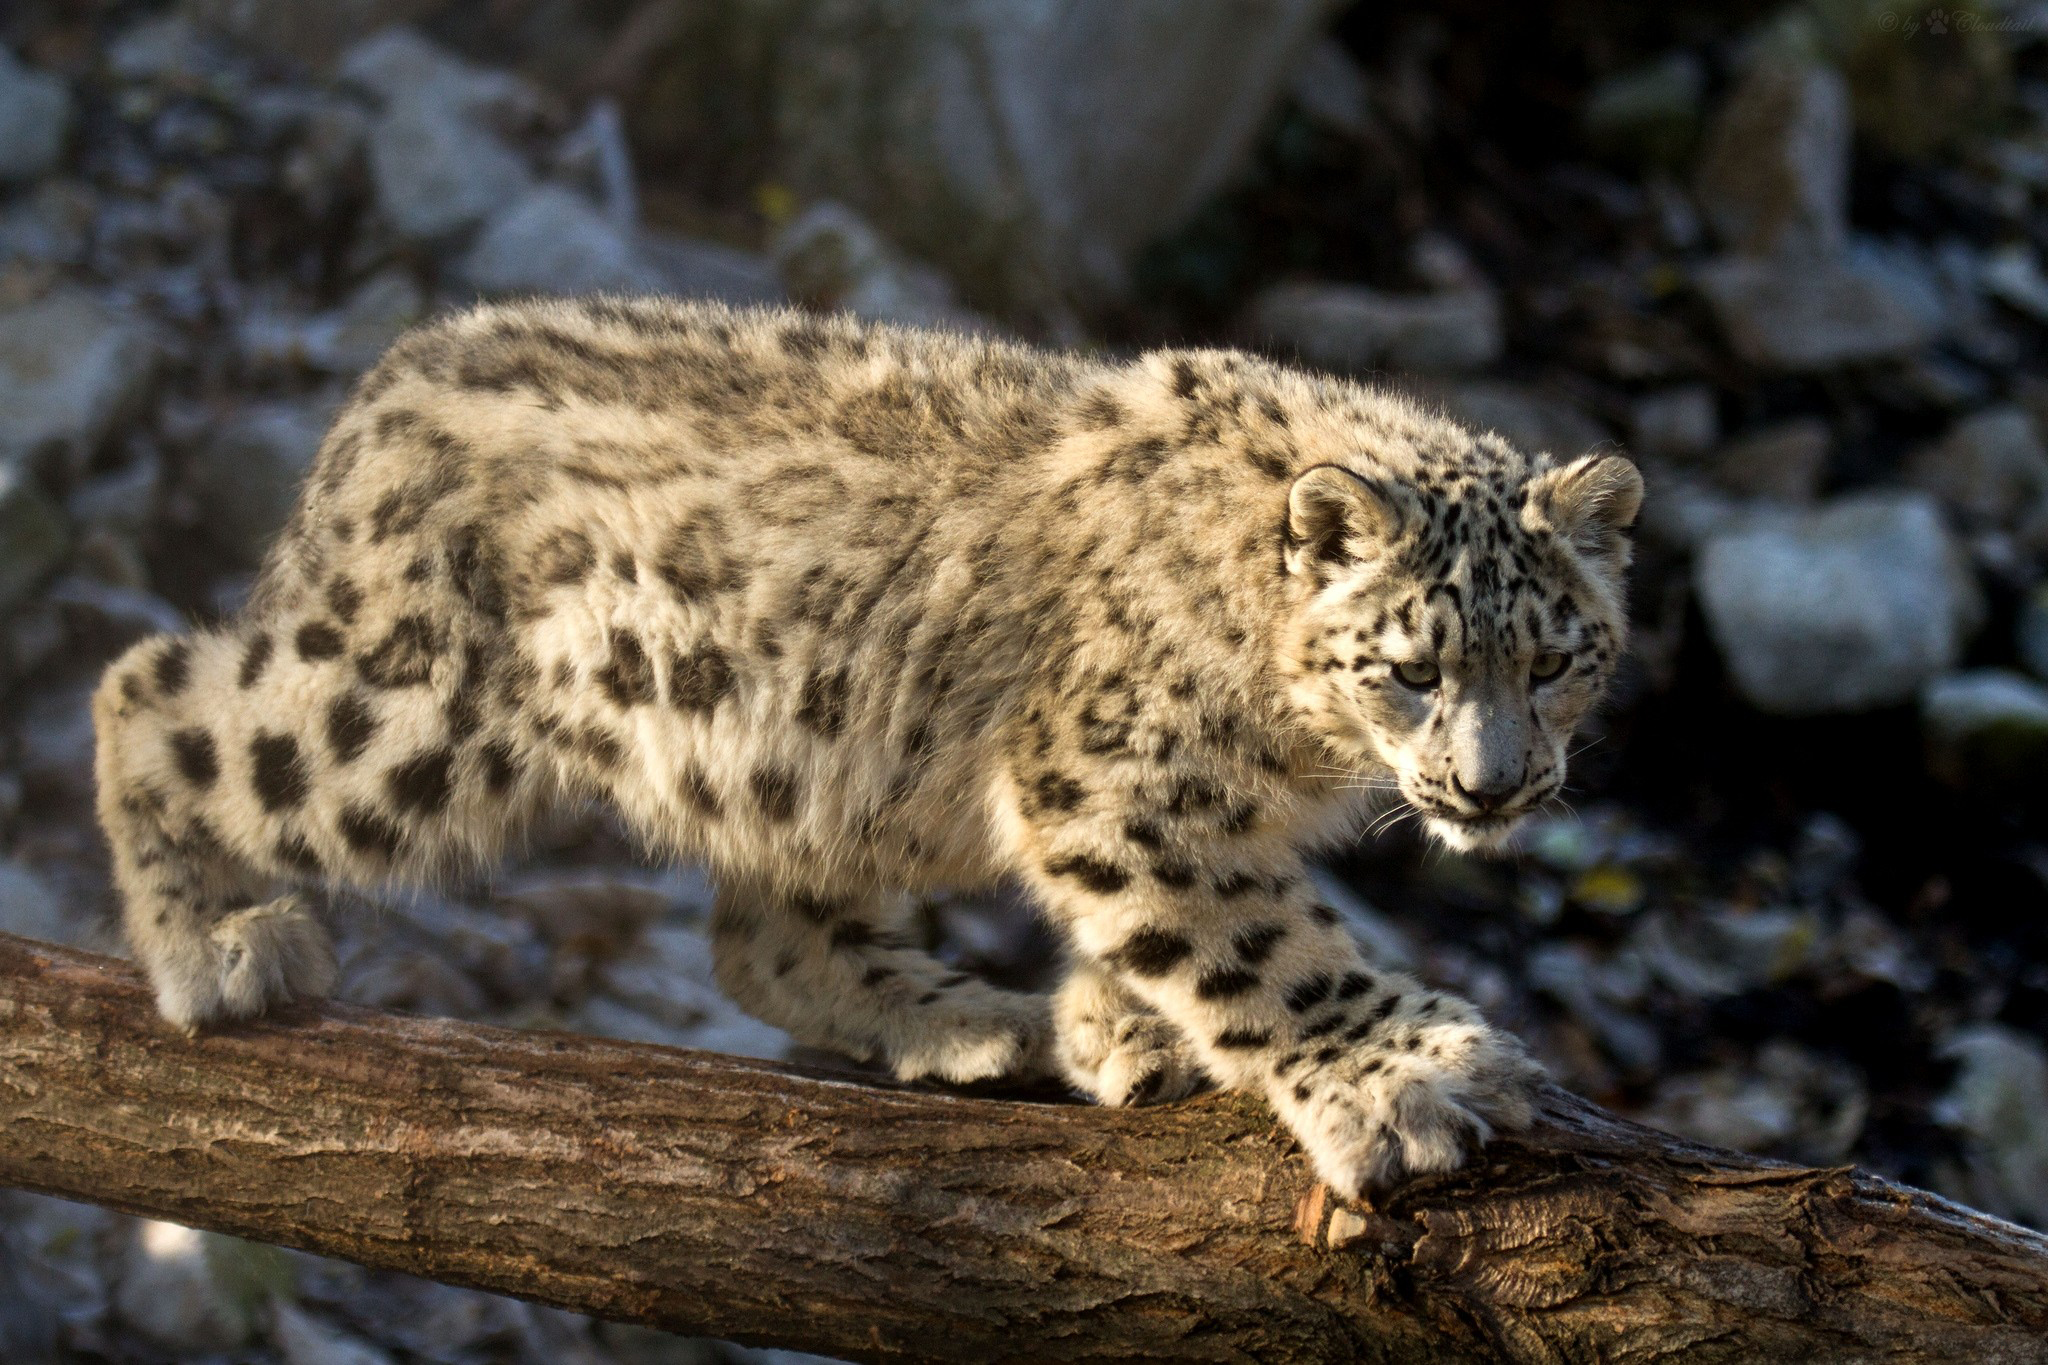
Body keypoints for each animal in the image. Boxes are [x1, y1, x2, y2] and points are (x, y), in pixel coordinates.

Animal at [92, 296, 1646, 1195]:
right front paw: (1415, 1077)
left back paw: (975, 1024)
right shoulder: (1112, 785)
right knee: (154, 690)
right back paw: (211, 947)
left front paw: (1118, 1025)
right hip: (400, 719)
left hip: (802, 767)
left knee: (761, 942)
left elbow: (1191, 940)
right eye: (1410, 669)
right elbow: (1263, 944)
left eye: (1556, 659)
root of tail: (388, 376)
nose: (1495, 786)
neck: (1299, 758)